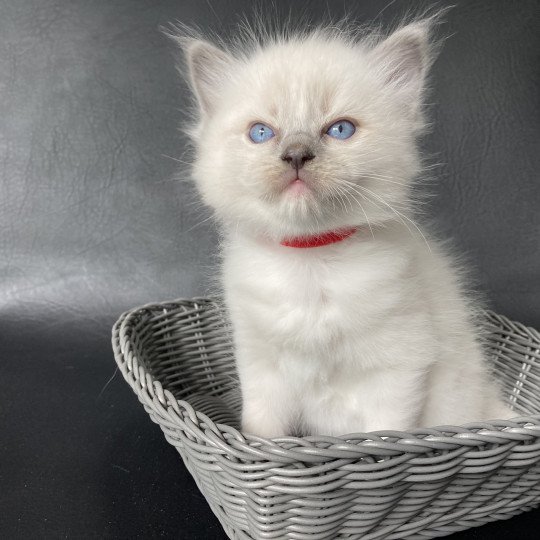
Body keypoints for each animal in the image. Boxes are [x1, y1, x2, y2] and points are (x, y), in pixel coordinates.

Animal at [174, 19, 510, 436]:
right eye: (261, 133)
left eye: (340, 130)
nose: (296, 155)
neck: (311, 260)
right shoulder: (260, 367)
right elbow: (260, 432)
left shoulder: (399, 367)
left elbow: (385, 435)